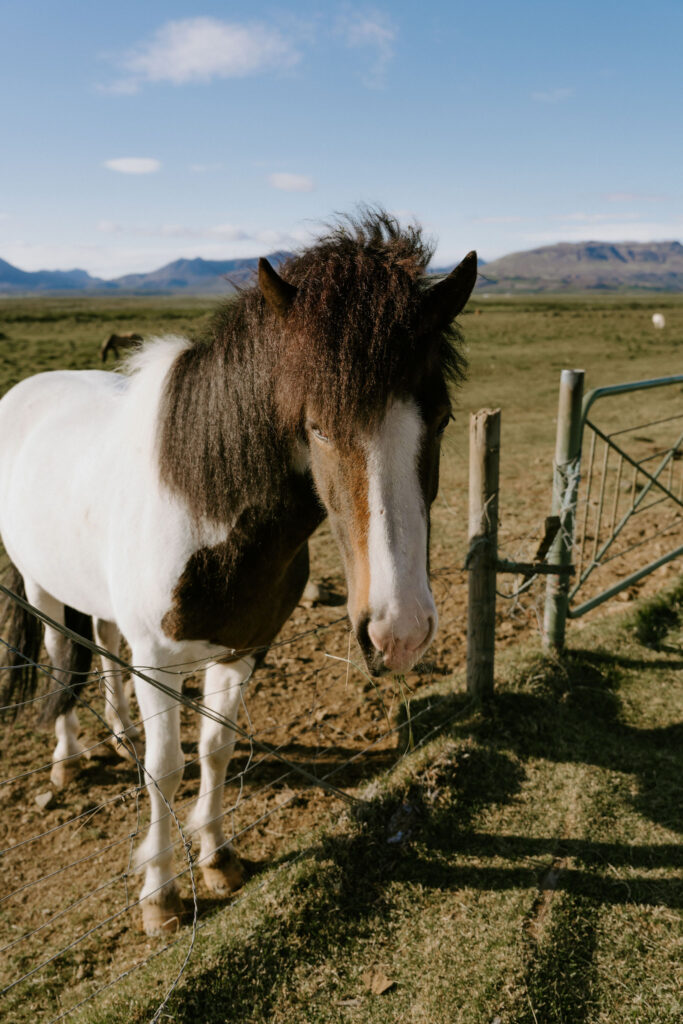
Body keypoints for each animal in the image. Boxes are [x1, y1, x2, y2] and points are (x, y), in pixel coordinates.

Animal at [0, 211, 479, 933]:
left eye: (443, 418)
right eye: (316, 426)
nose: (399, 633)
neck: (206, 511)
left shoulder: (246, 647)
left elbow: (215, 749)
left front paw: (219, 857)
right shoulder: (160, 660)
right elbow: (167, 770)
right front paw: (161, 895)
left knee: (105, 647)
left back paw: (118, 732)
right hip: (42, 587)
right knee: (61, 657)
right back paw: (69, 760)